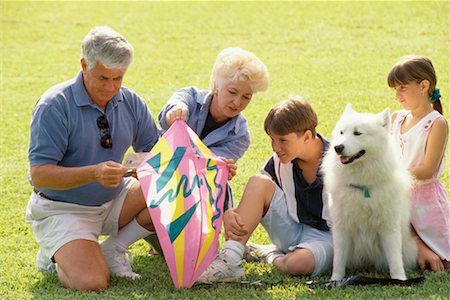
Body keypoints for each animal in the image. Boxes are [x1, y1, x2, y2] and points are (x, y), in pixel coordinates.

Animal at [322, 103, 416, 282]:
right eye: (341, 132)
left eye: (357, 133)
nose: (338, 147)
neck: (362, 187)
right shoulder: (342, 228)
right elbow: (339, 260)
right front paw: (335, 280)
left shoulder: (389, 228)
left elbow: (395, 259)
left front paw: (399, 280)